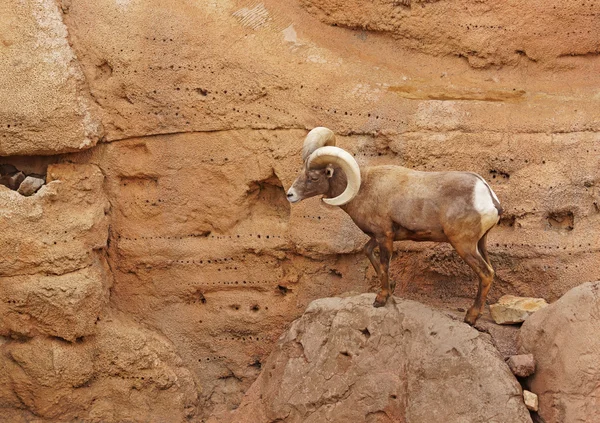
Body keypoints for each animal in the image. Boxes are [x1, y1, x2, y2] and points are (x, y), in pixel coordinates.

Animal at [286, 126, 502, 324]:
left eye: (313, 177)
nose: (290, 195)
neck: (363, 189)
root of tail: (489, 198)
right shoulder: (380, 237)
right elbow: (370, 254)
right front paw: (389, 291)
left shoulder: (384, 237)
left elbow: (384, 265)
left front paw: (380, 300)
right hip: (480, 243)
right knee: (490, 272)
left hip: (463, 245)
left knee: (486, 274)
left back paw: (470, 318)